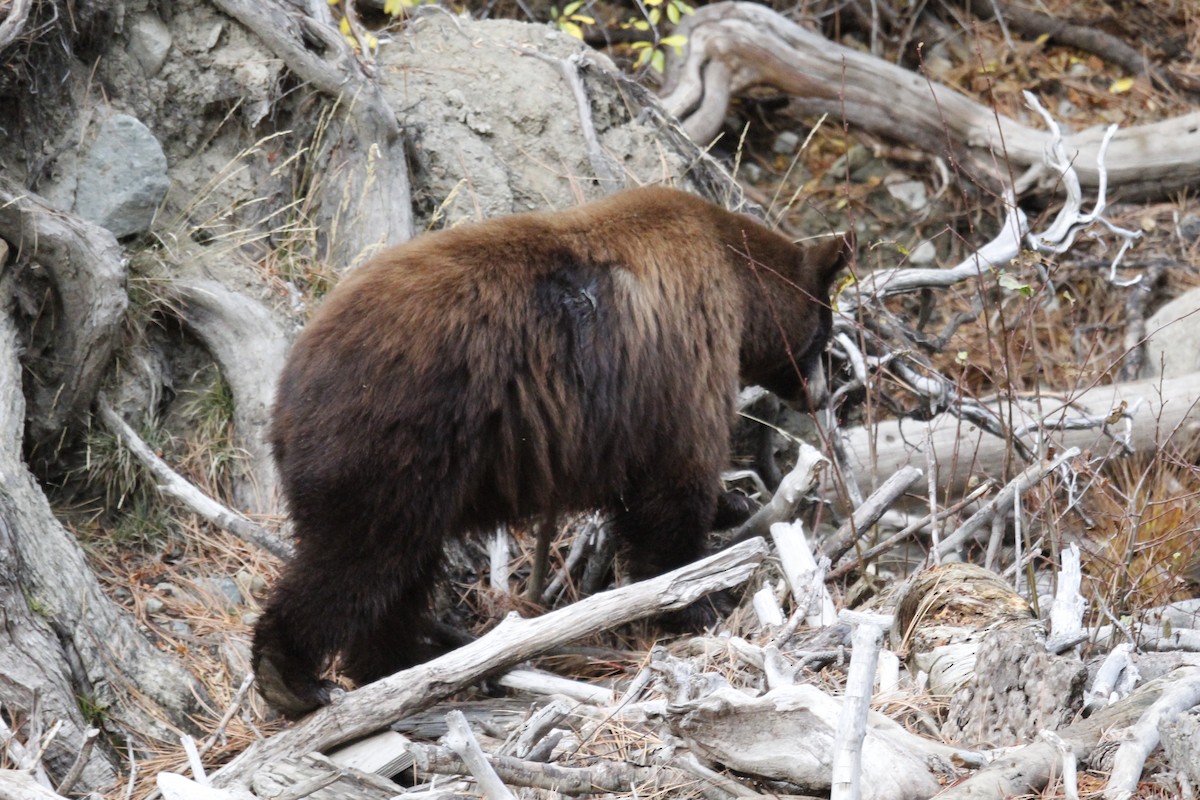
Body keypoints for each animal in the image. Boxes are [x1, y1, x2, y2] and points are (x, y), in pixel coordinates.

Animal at [252, 186, 852, 717]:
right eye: (823, 335)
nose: (823, 394)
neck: (737, 283)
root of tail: (290, 382)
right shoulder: (681, 365)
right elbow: (672, 488)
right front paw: (698, 598)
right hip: (393, 443)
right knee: (356, 559)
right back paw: (291, 678)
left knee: (396, 575)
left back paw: (396, 664)